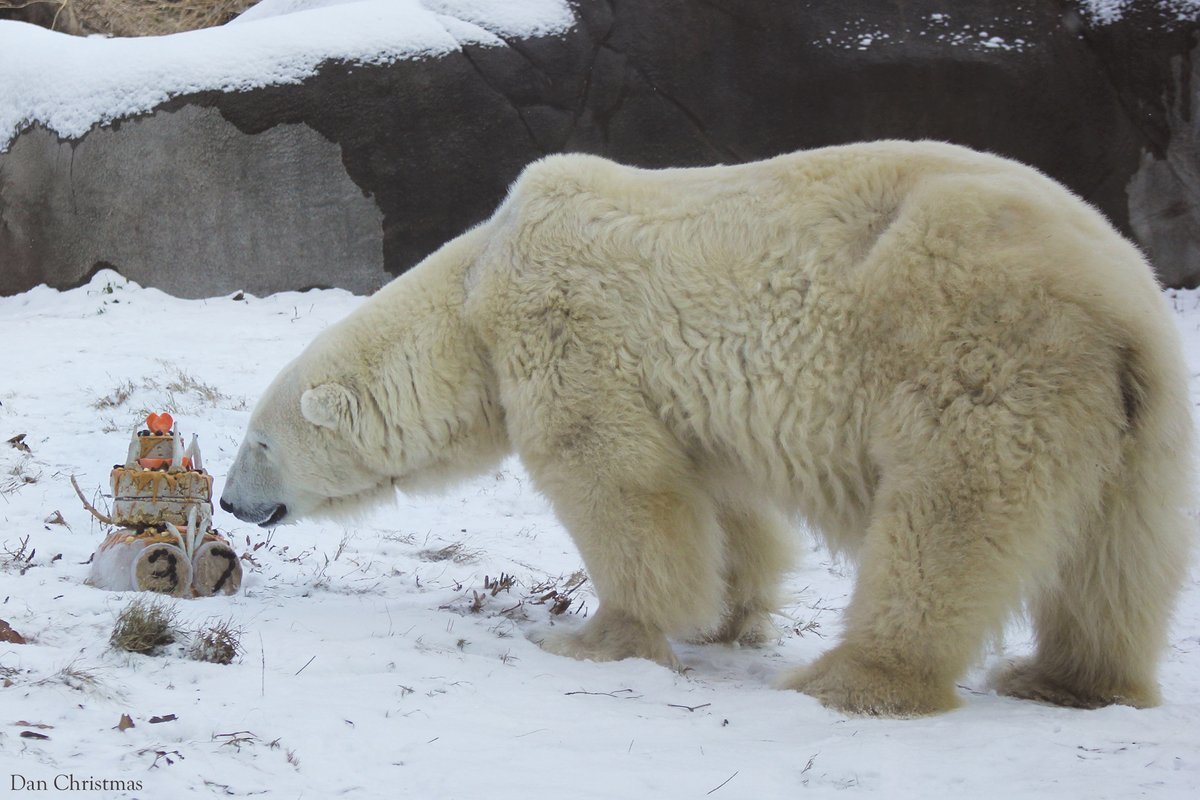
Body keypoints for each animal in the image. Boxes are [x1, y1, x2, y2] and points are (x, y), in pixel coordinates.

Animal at [221, 141, 1194, 717]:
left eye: (258, 442)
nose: (229, 502)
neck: (471, 293)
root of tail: (1121, 305)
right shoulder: (691, 403)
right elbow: (721, 503)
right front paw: (728, 616)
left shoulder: (566, 330)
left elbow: (616, 482)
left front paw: (598, 637)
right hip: (1134, 418)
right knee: (1119, 556)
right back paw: (1067, 680)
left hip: (979, 357)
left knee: (948, 522)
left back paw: (856, 678)